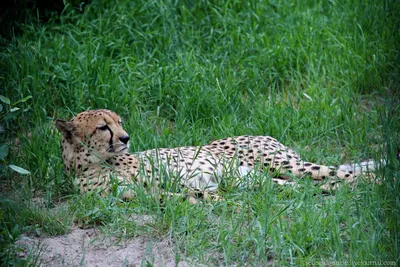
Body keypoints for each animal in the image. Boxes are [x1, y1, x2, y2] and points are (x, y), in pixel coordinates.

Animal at [54, 109, 374, 201]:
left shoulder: (167, 180)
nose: (125, 137)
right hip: (258, 180)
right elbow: (189, 196)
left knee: (342, 173)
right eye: (103, 127)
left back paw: (376, 183)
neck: (89, 166)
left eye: (119, 122)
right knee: (309, 186)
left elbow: (201, 194)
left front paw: (230, 207)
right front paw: (220, 203)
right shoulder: (140, 193)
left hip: (283, 164)